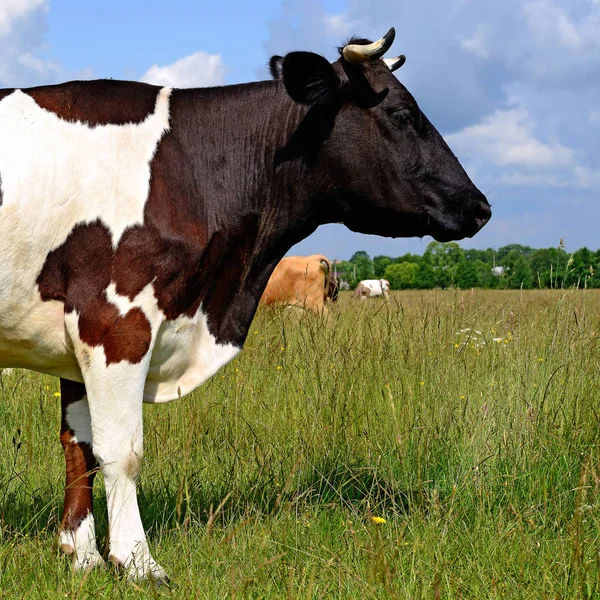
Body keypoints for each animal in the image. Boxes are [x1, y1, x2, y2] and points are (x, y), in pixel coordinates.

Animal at [0, 29, 490, 580]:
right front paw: (138, 562)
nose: (480, 206)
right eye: (403, 113)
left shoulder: (76, 338)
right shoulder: (115, 321)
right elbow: (121, 449)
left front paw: (81, 555)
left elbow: (79, 444)